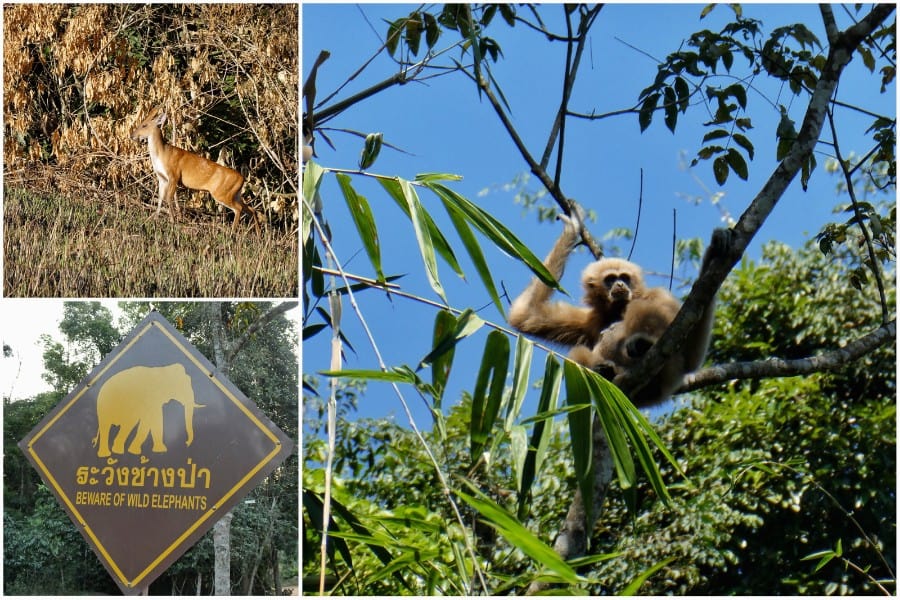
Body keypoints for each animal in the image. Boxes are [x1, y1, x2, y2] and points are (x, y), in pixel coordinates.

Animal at [132, 106, 262, 231]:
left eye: (144, 125)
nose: (133, 136)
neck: (162, 154)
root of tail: (242, 179)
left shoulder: (174, 174)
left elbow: (169, 198)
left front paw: (173, 222)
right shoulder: (162, 178)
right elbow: (160, 199)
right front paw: (155, 220)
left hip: (222, 193)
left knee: (238, 209)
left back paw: (232, 233)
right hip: (235, 194)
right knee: (251, 209)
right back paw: (258, 234)